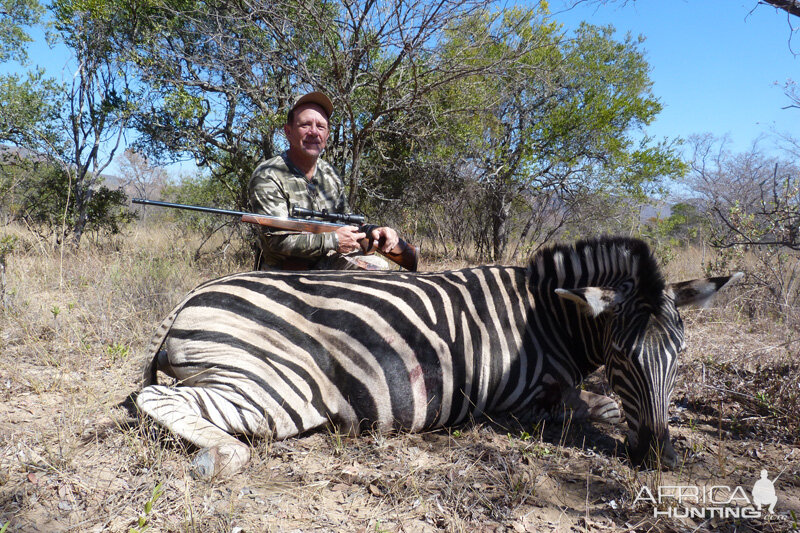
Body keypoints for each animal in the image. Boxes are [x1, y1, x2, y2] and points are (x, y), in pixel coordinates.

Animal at [134, 235, 740, 476]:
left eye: (680, 353)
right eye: (620, 356)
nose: (662, 460)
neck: (547, 317)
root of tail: (189, 299)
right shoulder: (526, 402)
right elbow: (598, 406)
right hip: (282, 389)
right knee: (157, 399)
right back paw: (222, 456)